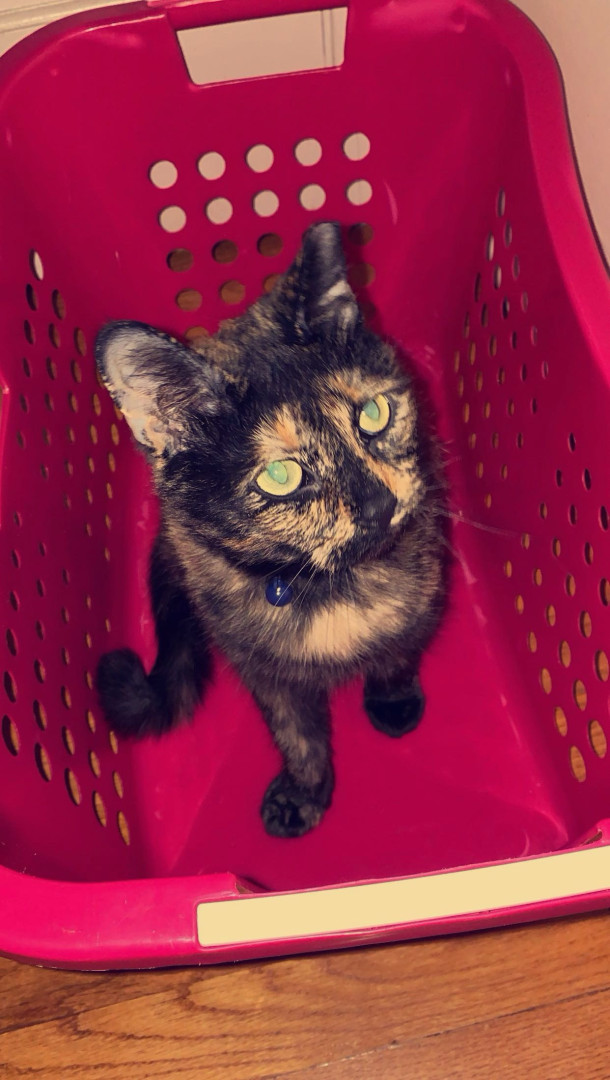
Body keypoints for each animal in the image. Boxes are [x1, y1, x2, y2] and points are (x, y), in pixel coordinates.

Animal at [94, 221, 446, 838]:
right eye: (280, 476)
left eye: (373, 415)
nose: (378, 504)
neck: (331, 587)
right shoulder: (258, 664)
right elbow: (296, 732)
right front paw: (303, 793)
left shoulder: (425, 590)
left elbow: (398, 653)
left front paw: (392, 703)